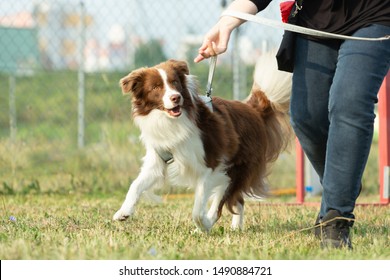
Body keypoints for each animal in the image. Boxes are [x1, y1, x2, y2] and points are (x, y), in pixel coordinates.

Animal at [114, 54, 290, 232]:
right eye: (156, 87)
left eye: (175, 82)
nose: (176, 97)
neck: (173, 121)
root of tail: (253, 110)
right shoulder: (158, 159)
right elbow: (136, 185)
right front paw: (124, 211)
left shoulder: (210, 165)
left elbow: (198, 209)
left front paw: (204, 223)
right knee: (237, 200)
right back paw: (235, 227)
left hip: (236, 169)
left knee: (224, 201)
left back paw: (208, 223)